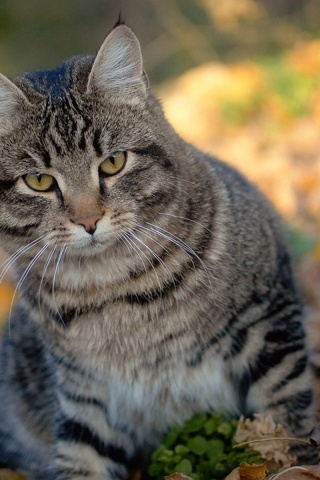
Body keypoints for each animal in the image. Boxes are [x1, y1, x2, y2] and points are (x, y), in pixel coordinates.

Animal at [0, 19, 318, 480]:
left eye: (113, 162)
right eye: (39, 181)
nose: (88, 220)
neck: (113, 288)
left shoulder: (270, 325)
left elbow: (287, 428)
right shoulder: (83, 395)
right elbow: (83, 461)